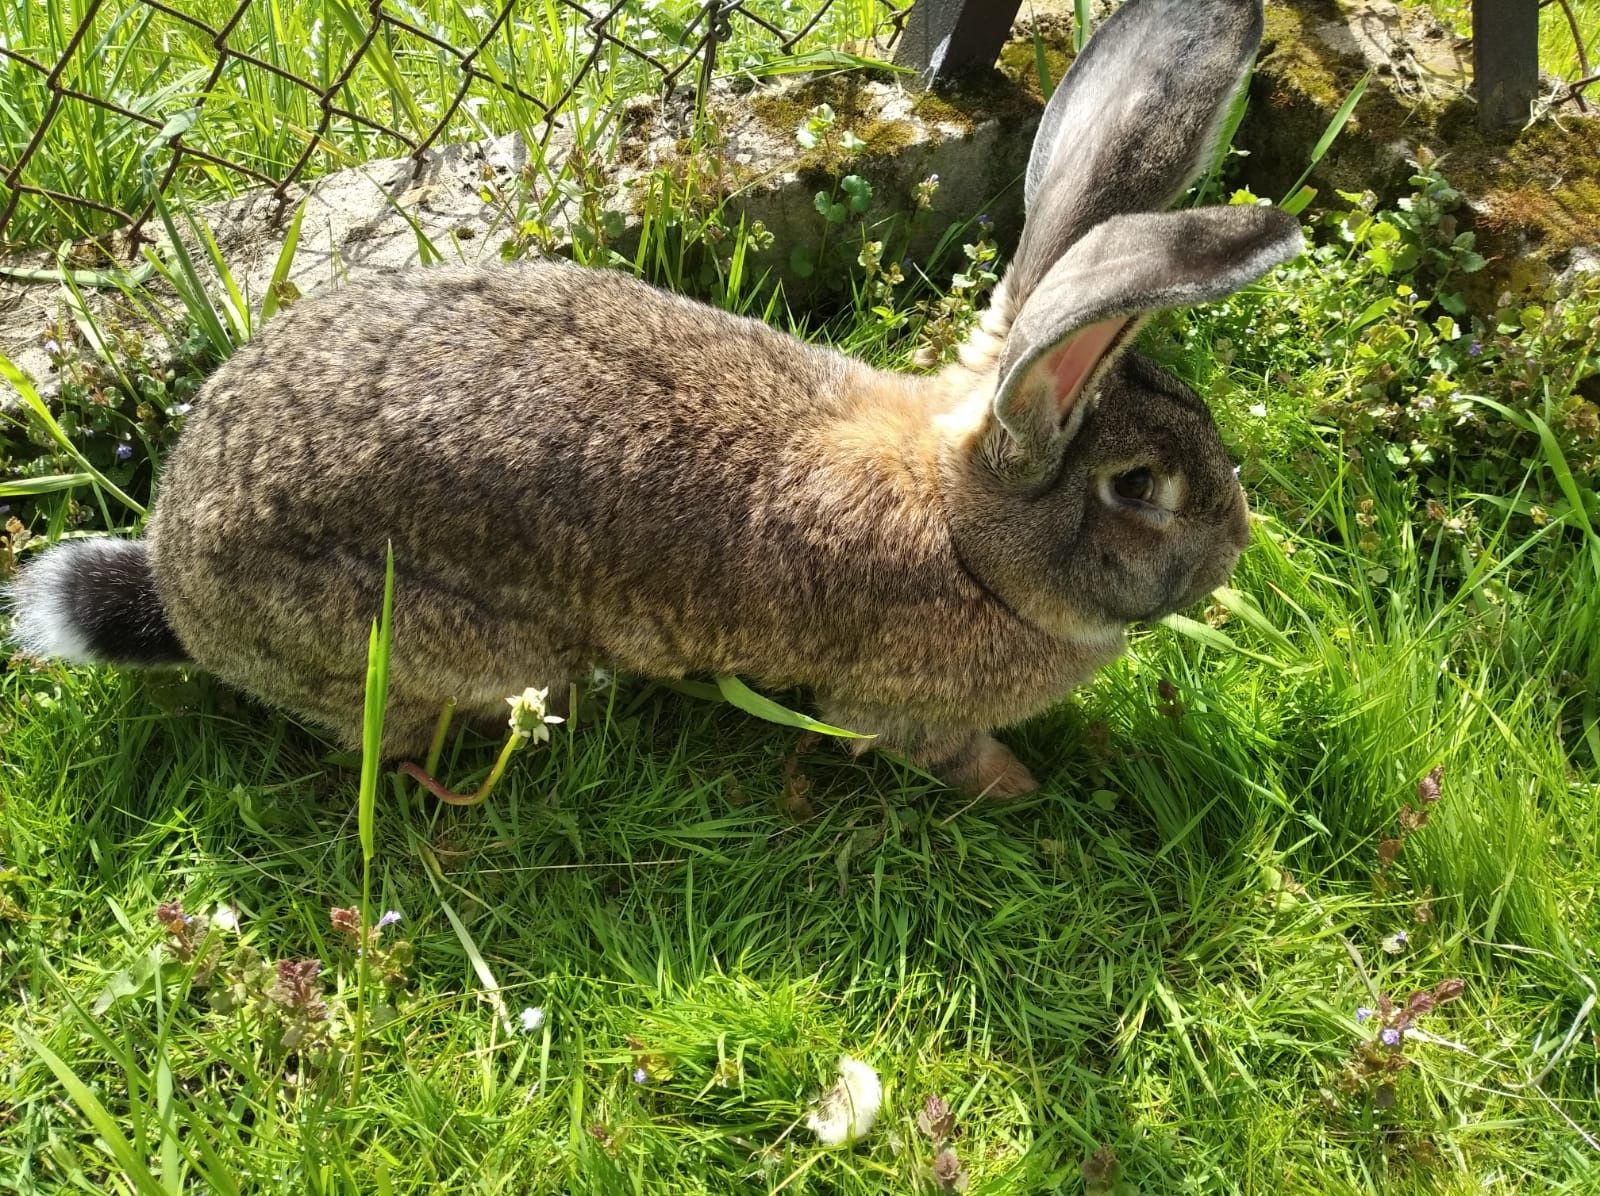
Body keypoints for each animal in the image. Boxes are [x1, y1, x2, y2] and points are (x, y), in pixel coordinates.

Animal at [6, 2, 1299, 802]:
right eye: (1138, 488)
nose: (1233, 548)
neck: (963, 528)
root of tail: (181, 585)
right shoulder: (892, 704)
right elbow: (930, 742)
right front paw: (1018, 787)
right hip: (443, 641)